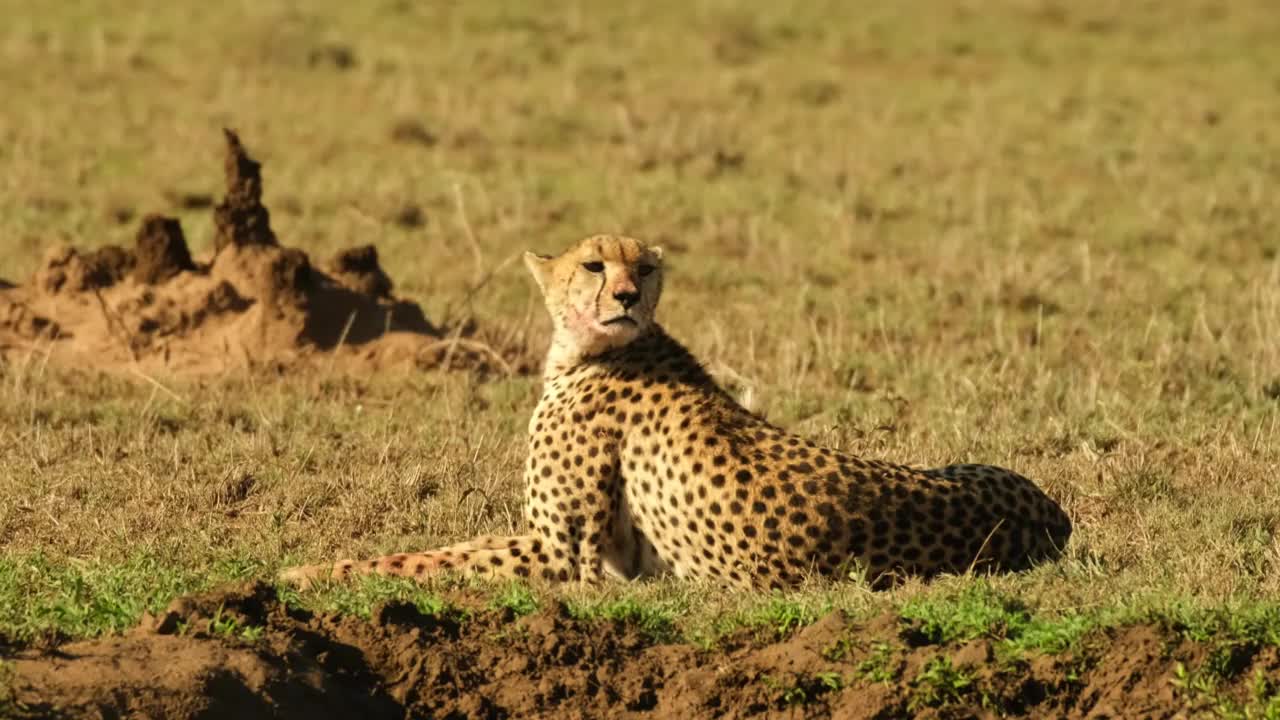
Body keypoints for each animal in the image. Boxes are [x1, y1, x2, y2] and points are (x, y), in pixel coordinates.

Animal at [285, 235, 1075, 589]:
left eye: (645, 266)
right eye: (595, 265)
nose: (628, 295)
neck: (592, 349)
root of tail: (1051, 514)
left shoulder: (564, 556)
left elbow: (427, 557)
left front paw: (306, 575)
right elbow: (440, 547)